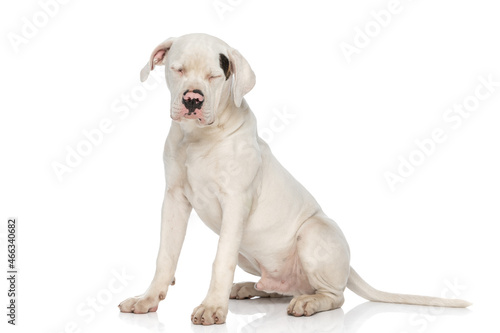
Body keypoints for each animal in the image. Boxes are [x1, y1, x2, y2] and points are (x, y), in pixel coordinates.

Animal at [119, 33, 470, 324]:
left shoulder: (235, 202)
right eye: (177, 70)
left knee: (335, 296)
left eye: (214, 76)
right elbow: (165, 255)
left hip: (313, 233)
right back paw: (250, 287)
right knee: (280, 287)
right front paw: (148, 298)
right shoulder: (174, 199)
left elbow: (221, 260)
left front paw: (212, 307)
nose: (192, 100)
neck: (199, 139)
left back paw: (309, 303)